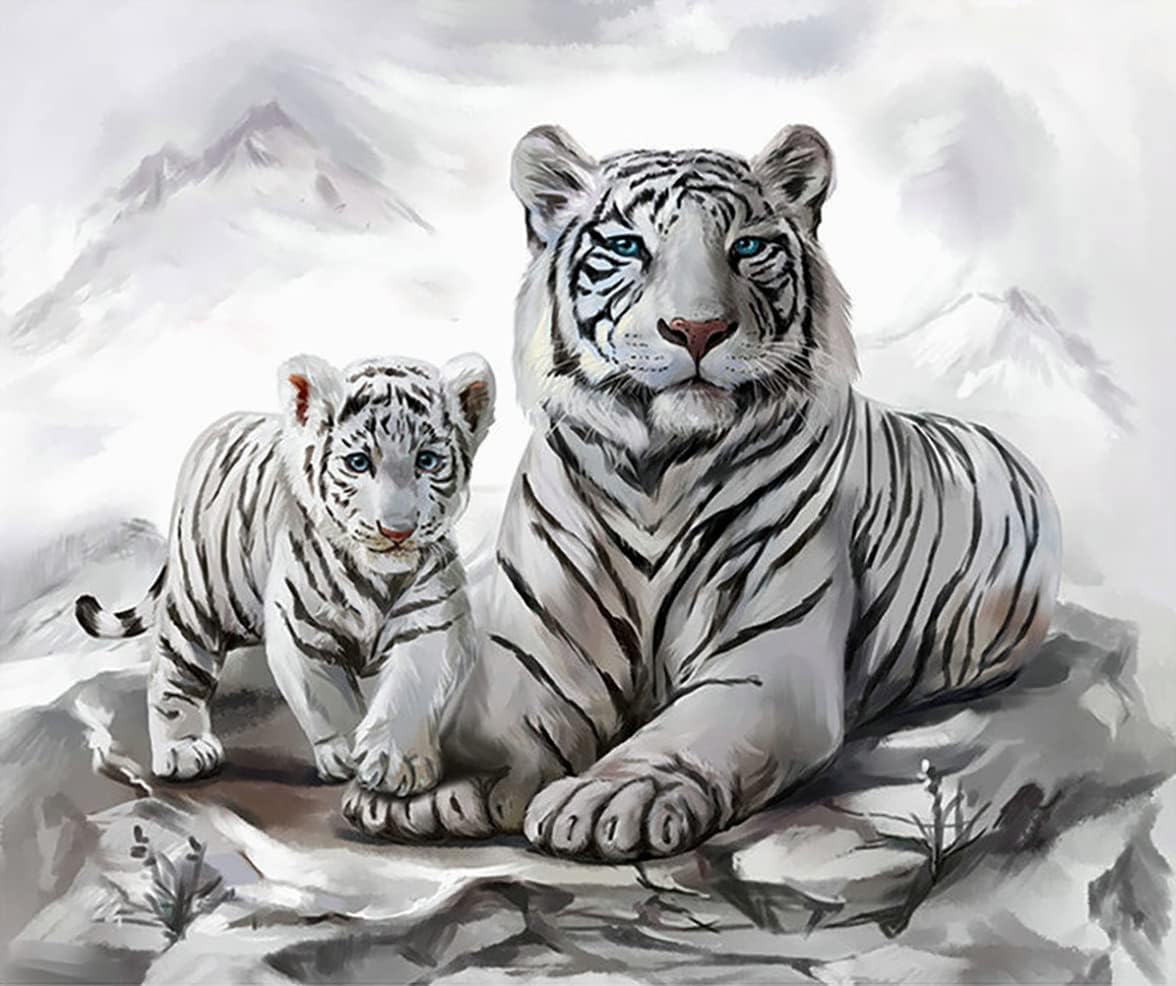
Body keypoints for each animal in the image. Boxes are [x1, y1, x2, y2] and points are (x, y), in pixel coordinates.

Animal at [75, 351, 495, 793]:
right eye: (359, 462)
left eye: (427, 461)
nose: (397, 531)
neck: (378, 577)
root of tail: (216, 431)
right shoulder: (301, 629)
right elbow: (329, 698)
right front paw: (346, 754)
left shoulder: (434, 623)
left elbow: (412, 689)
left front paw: (398, 763)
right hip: (196, 601)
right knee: (173, 670)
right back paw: (183, 749)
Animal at [341, 123, 1062, 863]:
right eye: (627, 246)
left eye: (746, 246)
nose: (697, 330)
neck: (656, 472)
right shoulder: (537, 649)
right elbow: (498, 717)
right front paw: (436, 780)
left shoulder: (765, 658)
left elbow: (685, 733)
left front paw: (610, 797)